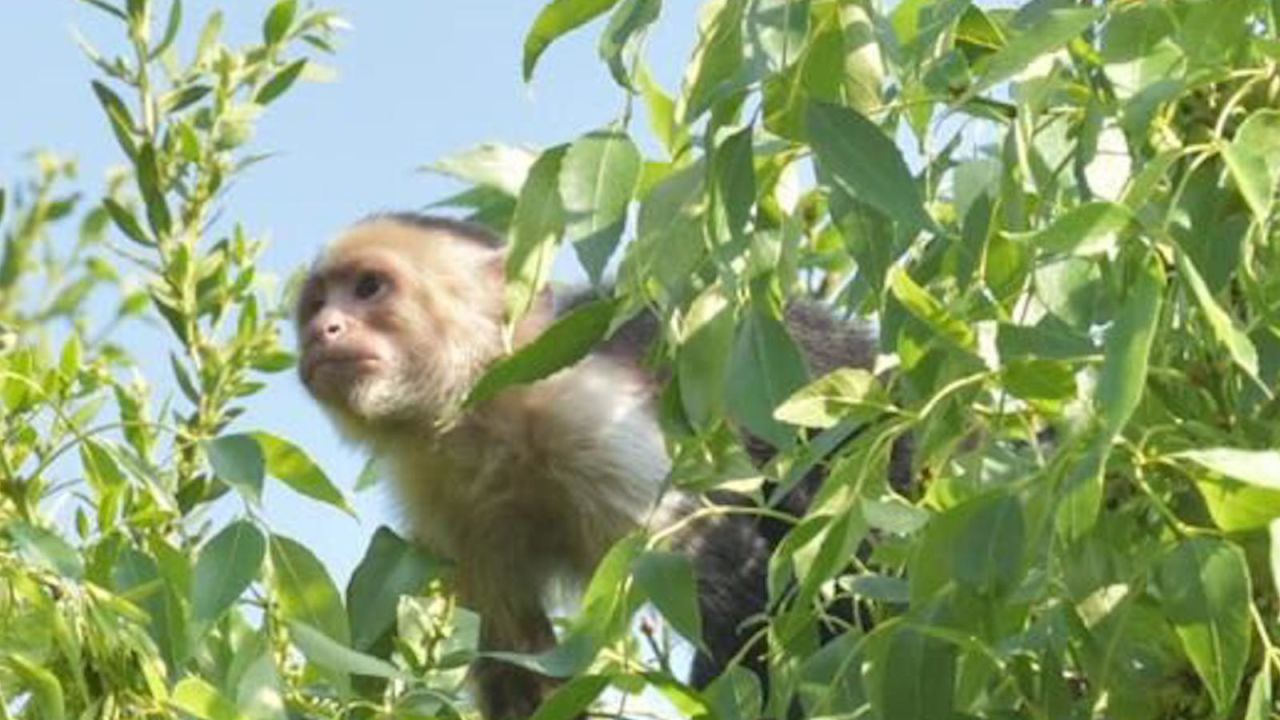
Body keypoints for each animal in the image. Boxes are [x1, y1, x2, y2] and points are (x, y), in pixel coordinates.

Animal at [294, 212, 885, 717]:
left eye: (369, 287)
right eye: (316, 304)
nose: (323, 330)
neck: (484, 418)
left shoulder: (588, 416)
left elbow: (744, 596)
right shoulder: (441, 500)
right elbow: (518, 664)